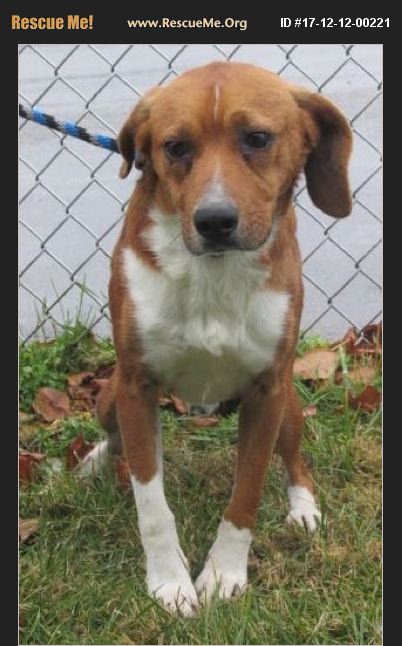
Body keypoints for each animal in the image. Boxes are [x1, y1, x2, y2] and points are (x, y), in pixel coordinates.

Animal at [80, 61, 352, 615]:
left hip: (289, 404)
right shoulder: (136, 385)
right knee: (119, 437)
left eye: (258, 138)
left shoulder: (268, 391)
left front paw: (224, 575)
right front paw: (169, 582)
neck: (214, 273)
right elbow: (151, 502)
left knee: (295, 460)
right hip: (109, 394)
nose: (214, 221)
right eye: (175, 146)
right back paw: (97, 460)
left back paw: (303, 507)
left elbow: (246, 493)